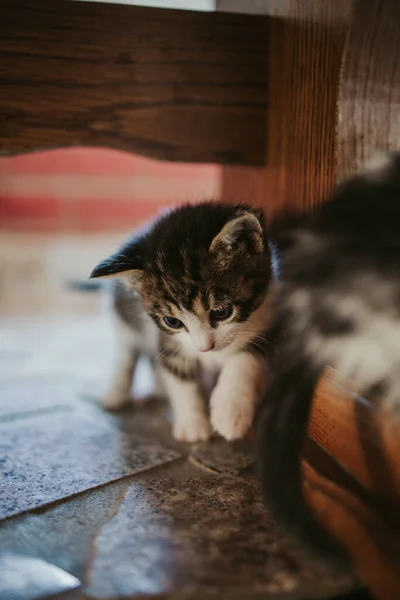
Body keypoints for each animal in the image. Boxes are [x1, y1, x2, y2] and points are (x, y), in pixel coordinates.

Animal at [90, 202, 272, 440]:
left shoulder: (268, 318)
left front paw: (230, 411)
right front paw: (193, 424)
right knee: (126, 354)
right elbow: (180, 378)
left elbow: (245, 360)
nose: (205, 348)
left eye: (221, 312)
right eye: (172, 321)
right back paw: (117, 393)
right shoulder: (165, 339)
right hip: (124, 323)